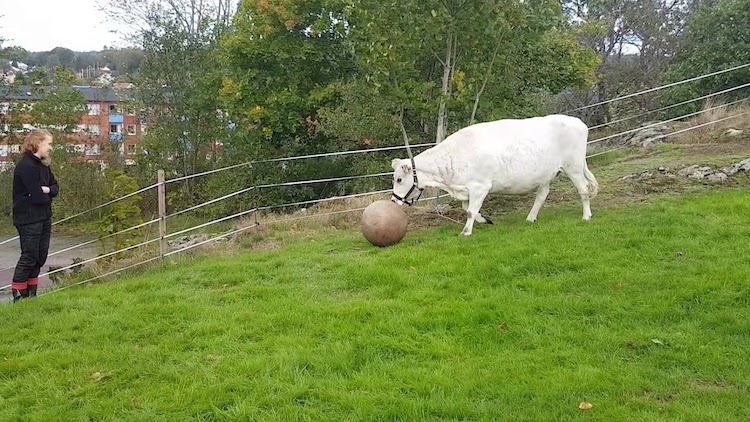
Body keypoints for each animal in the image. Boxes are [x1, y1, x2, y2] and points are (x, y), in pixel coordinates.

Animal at [394, 113, 600, 236]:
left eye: (398, 179)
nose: (394, 200)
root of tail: (578, 122)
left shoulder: (480, 186)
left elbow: (470, 210)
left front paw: (466, 232)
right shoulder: (467, 189)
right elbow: (467, 208)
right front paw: (485, 219)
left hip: (573, 166)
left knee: (583, 189)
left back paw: (586, 216)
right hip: (546, 174)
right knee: (542, 195)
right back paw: (530, 218)